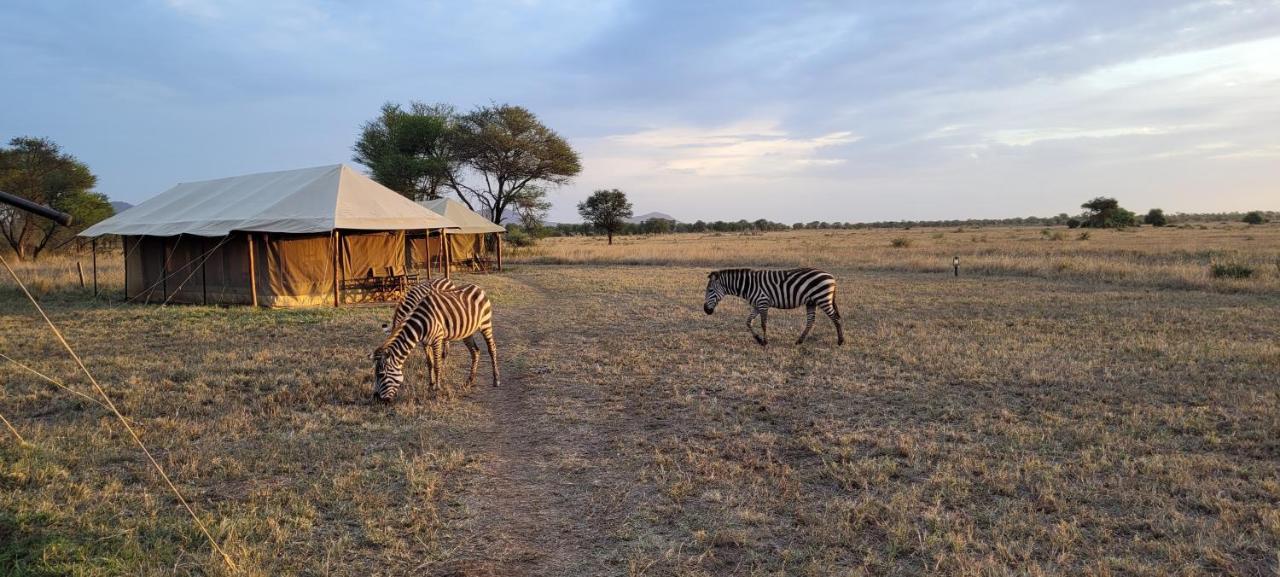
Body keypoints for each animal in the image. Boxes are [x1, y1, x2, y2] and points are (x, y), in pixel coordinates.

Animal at [371, 284, 499, 401]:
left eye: (381, 375)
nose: (376, 398)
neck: (420, 325)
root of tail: (477, 287)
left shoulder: (437, 339)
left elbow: (437, 364)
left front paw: (437, 389)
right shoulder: (425, 342)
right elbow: (430, 363)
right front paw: (430, 385)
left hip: (485, 324)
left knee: (492, 349)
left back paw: (496, 380)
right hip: (468, 331)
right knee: (475, 352)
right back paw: (469, 381)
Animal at [706, 267, 844, 345]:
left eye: (710, 290)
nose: (706, 310)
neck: (748, 285)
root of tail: (831, 277)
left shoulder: (763, 303)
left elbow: (763, 324)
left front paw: (765, 341)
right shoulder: (757, 305)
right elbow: (748, 322)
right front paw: (758, 339)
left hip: (822, 299)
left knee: (835, 318)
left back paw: (840, 341)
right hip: (811, 302)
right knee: (811, 321)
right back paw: (799, 341)